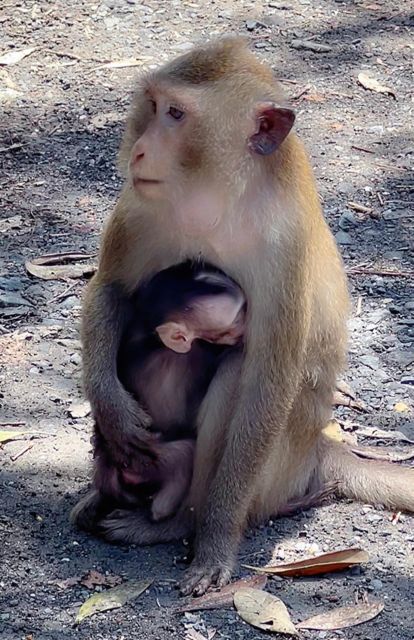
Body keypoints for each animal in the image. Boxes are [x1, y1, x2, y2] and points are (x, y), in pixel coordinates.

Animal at [96, 262, 246, 524]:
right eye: (234, 322)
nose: (246, 324)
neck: (152, 338)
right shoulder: (192, 354)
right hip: (149, 462)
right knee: (184, 453)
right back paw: (163, 507)